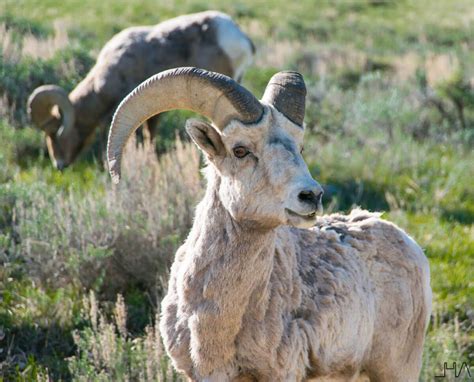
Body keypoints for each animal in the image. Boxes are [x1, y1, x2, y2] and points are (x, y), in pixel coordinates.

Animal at [107, 67, 434, 380]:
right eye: (240, 150)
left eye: (300, 148)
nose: (311, 196)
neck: (218, 318)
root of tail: (409, 244)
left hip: (395, 369)